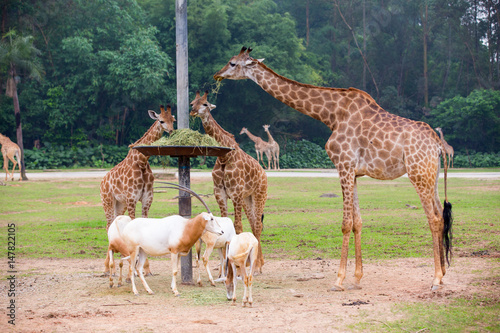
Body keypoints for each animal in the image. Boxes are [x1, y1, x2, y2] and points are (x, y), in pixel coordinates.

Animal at [99, 105, 176, 274]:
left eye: (173, 120)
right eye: (161, 120)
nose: (171, 131)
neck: (141, 161)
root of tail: (102, 181)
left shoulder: (147, 198)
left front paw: (146, 268)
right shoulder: (132, 198)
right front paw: (134, 266)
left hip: (119, 204)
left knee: (113, 225)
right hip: (107, 201)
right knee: (108, 225)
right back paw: (107, 267)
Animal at [189, 90, 268, 270]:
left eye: (205, 104)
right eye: (192, 103)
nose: (193, 112)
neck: (224, 156)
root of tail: (264, 173)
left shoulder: (236, 193)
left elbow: (237, 225)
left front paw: (236, 263)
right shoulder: (220, 193)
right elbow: (226, 222)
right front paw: (223, 265)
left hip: (259, 194)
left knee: (258, 225)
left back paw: (258, 264)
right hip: (247, 198)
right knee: (253, 223)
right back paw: (255, 261)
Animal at [215, 46, 454, 290]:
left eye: (232, 63)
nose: (217, 75)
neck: (331, 115)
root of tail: (437, 144)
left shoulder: (343, 165)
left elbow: (346, 223)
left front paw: (339, 279)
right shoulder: (355, 172)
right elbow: (358, 222)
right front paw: (357, 278)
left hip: (418, 173)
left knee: (434, 218)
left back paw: (436, 278)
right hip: (431, 175)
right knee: (441, 214)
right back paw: (444, 273)